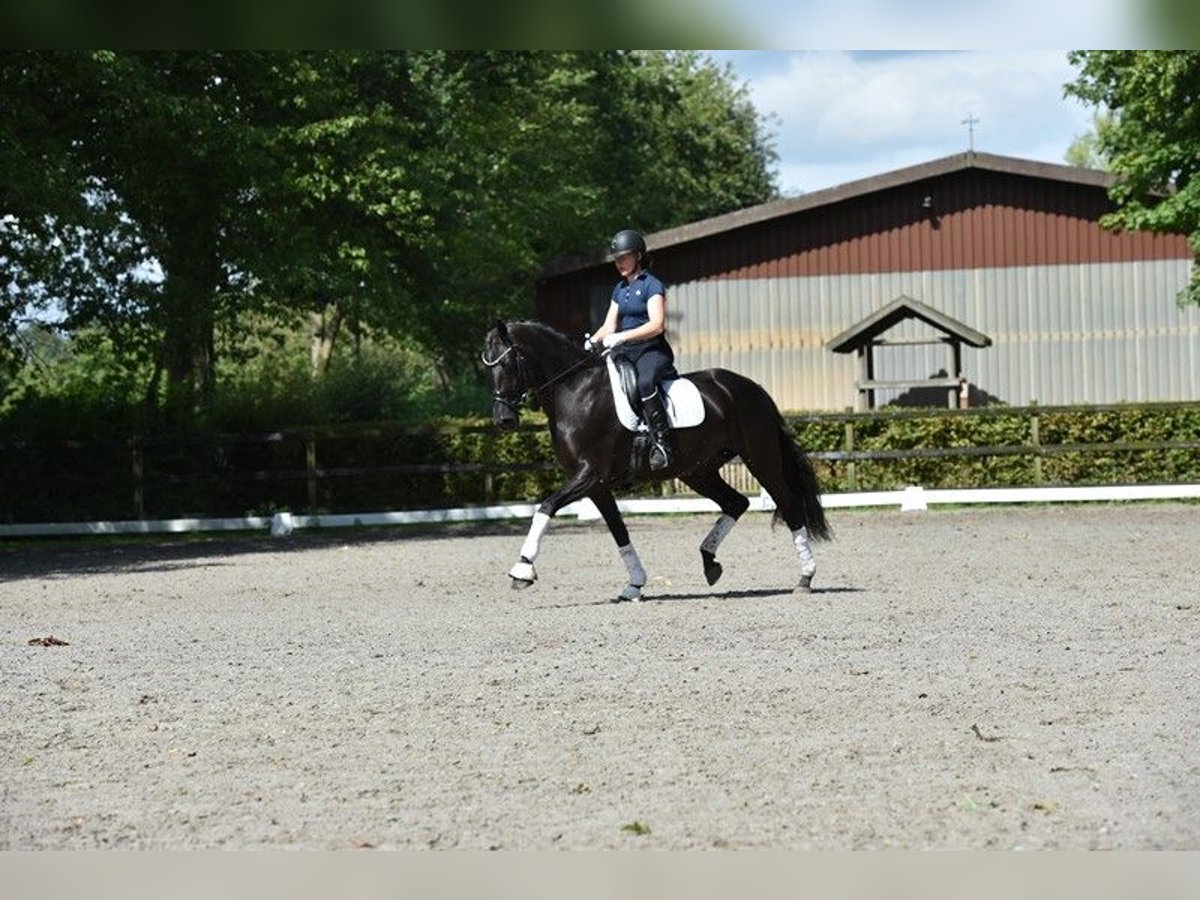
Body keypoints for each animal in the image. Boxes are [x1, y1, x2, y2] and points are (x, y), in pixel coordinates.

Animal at [482, 321, 830, 602]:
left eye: (509, 362)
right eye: (488, 366)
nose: (503, 420)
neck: (576, 390)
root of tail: (751, 387)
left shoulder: (590, 475)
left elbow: (546, 507)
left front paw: (522, 570)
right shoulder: (596, 486)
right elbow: (619, 531)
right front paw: (635, 585)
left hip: (760, 457)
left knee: (788, 504)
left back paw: (805, 577)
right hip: (697, 470)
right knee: (736, 502)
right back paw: (709, 562)